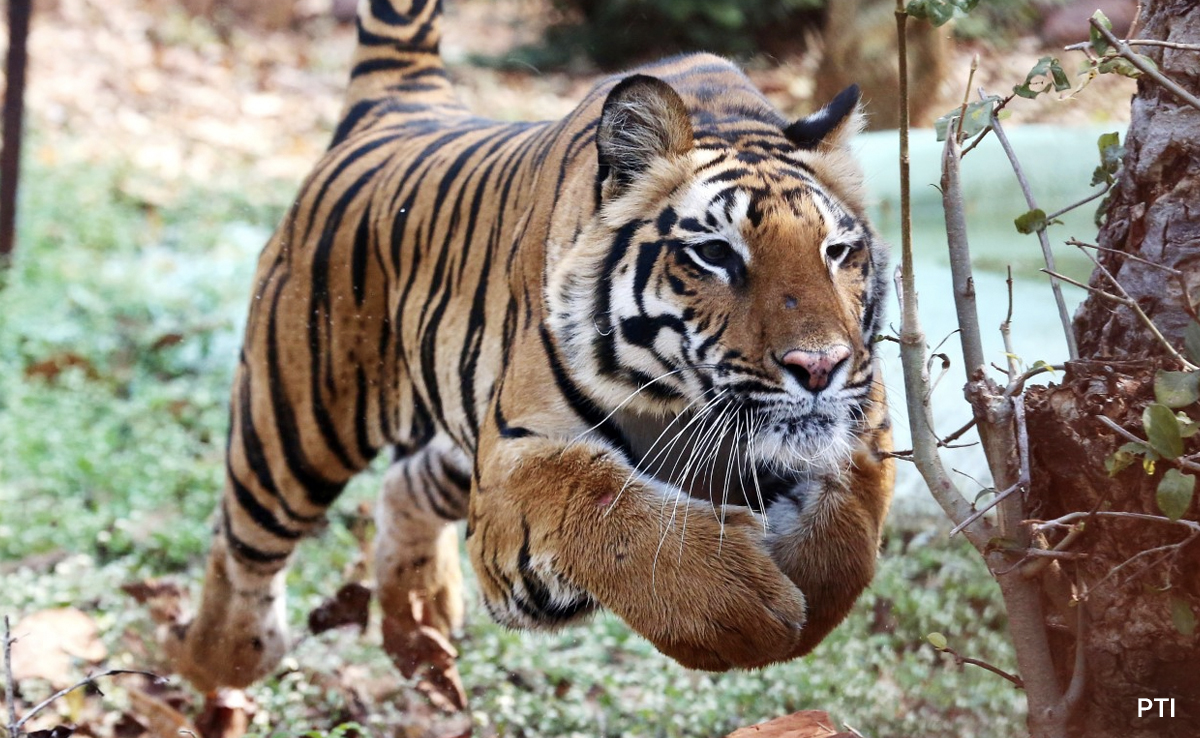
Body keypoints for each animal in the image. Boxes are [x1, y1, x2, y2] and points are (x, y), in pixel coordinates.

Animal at [167, 0, 895, 694]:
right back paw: (221, 661)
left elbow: (852, 535)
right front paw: (748, 617)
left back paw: (419, 621)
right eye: (715, 254)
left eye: (836, 252)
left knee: (404, 484)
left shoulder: (865, 422)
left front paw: (808, 600)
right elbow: (607, 508)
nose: (818, 367)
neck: (677, 398)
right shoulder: (513, 463)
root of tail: (400, 102)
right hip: (297, 424)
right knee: (245, 543)